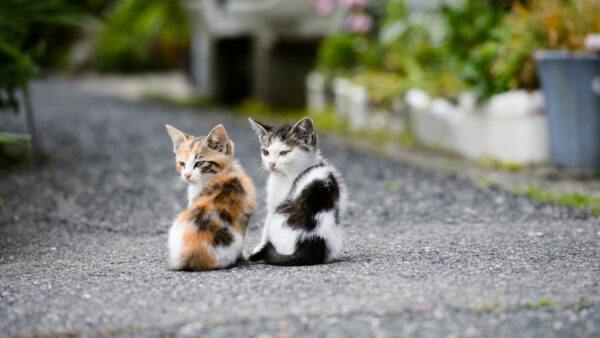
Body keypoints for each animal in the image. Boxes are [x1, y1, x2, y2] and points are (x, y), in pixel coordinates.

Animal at [246, 117, 346, 266]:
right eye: (266, 152)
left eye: (284, 153)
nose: (271, 164)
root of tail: (313, 238)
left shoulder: (275, 204)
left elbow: (265, 228)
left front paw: (259, 246)